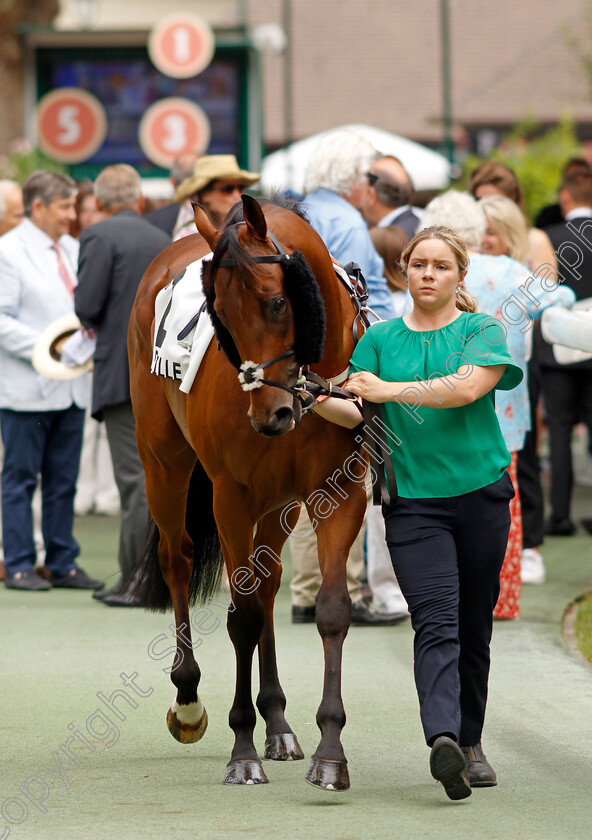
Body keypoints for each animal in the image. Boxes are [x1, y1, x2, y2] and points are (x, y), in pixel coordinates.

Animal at [129, 194, 368, 792]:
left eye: (279, 302)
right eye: (220, 315)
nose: (270, 414)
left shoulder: (338, 494)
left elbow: (331, 609)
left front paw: (330, 753)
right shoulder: (230, 497)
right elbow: (241, 617)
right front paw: (242, 751)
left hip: (279, 504)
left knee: (268, 580)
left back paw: (278, 721)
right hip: (163, 464)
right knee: (178, 558)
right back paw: (189, 697)